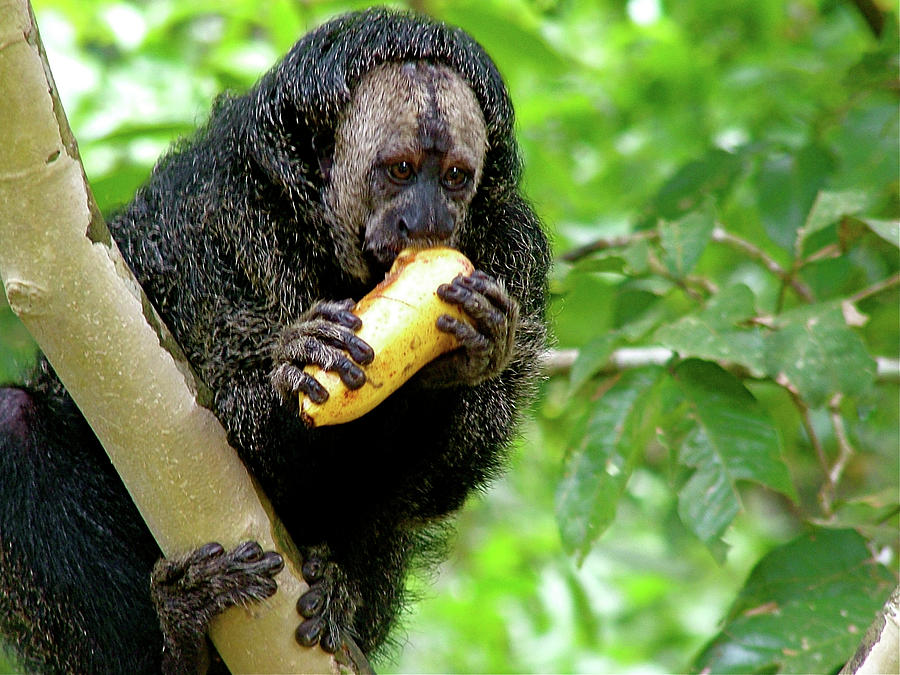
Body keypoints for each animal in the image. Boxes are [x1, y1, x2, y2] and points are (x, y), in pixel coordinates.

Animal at [0, 6, 548, 675]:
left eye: (454, 179)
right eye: (400, 171)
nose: (427, 222)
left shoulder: (516, 258)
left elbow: (435, 488)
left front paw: (464, 355)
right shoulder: (210, 216)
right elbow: (212, 421)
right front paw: (300, 361)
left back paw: (337, 594)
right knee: (13, 420)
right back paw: (180, 640)